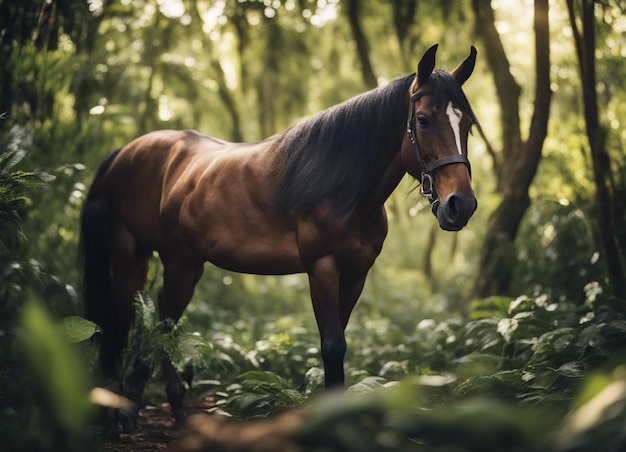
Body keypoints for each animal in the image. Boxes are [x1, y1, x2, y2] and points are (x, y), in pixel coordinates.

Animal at [79, 44, 478, 426]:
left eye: (468, 125)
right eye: (423, 120)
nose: (461, 206)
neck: (344, 186)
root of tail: (125, 152)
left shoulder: (355, 273)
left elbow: (338, 340)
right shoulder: (322, 267)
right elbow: (333, 345)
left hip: (182, 263)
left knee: (161, 321)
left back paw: (157, 404)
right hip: (140, 255)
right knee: (128, 320)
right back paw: (121, 411)